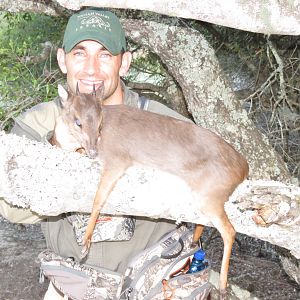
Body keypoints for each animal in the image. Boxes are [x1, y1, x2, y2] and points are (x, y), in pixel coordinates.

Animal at [53, 84, 248, 298]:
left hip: (211, 194)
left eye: (100, 123)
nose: (93, 152)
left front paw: (86, 243)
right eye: (77, 121)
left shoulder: (117, 160)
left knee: (229, 230)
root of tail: (244, 168)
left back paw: (222, 286)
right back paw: (195, 241)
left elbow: (98, 200)